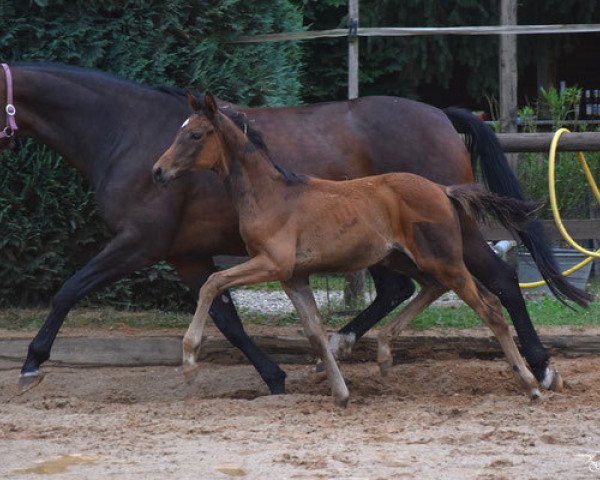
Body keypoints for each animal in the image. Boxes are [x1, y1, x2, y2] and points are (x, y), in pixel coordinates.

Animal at [154, 93, 544, 404]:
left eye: (195, 134)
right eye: (178, 130)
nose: (158, 171)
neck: (272, 194)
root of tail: (443, 190)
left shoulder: (271, 264)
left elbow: (212, 283)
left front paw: (189, 361)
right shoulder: (294, 277)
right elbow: (314, 333)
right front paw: (340, 393)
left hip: (443, 258)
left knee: (489, 304)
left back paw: (532, 383)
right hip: (405, 259)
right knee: (428, 287)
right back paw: (384, 352)